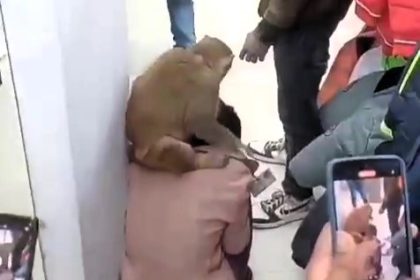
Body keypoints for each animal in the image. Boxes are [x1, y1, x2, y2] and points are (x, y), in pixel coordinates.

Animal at [125, 35, 253, 174]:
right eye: (228, 66)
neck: (198, 57)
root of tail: (136, 150)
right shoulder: (207, 86)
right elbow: (200, 123)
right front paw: (236, 147)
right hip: (153, 155)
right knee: (176, 150)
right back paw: (205, 162)